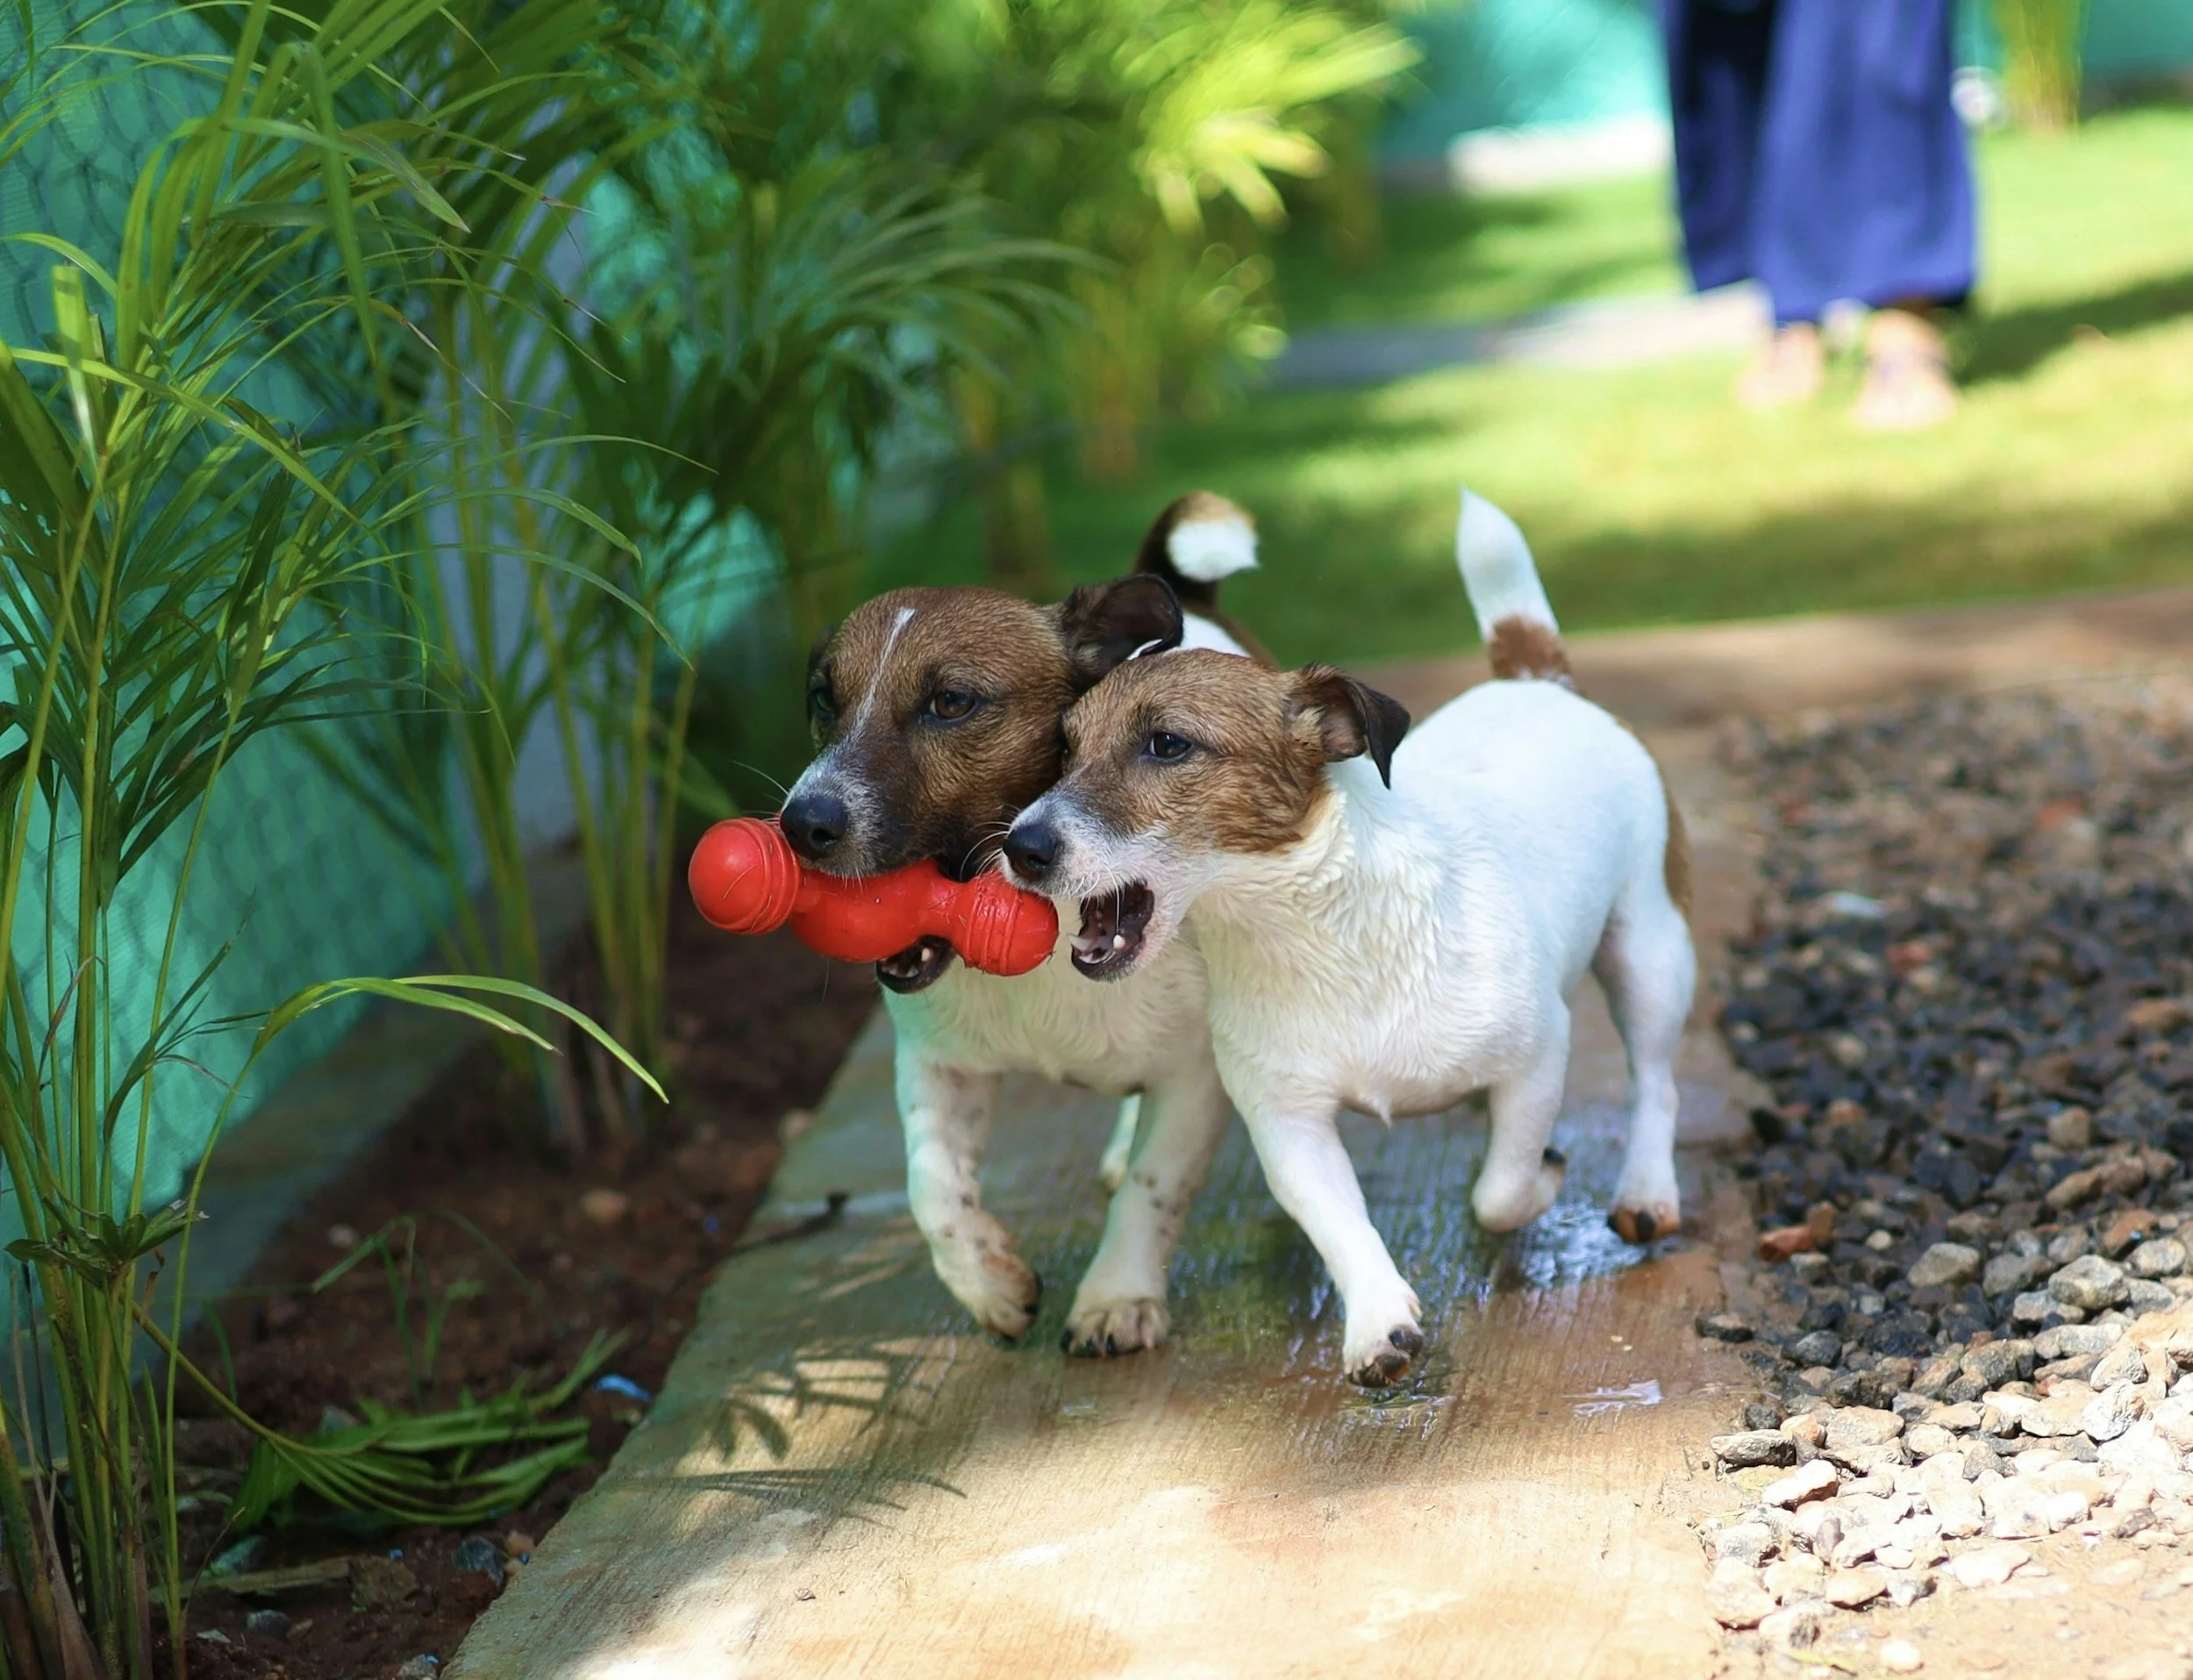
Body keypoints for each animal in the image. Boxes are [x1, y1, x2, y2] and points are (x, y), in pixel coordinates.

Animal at [777, 493, 1262, 1354]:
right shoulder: (936, 1063)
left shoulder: (1194, 1075)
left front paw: (1115, 1296)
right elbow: (930, 1185)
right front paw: (988, 1282)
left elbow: (1153, 1187)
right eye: (823, 698)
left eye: (952, 702)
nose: (800, 823)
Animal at [1000, 490, 1697, 1385]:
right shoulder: (1288, 1122)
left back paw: (1646, 1188)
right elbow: (1339, 1221)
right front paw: (1377, 1322)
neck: (1315, 932)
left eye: (1167, 744)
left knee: (1657, 1081)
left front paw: (1543, 1174)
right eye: (1064, 746)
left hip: (1650, 950)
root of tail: (1536, 678)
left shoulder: (1539, 1058)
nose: (1020, 846)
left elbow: (1501, 1192)